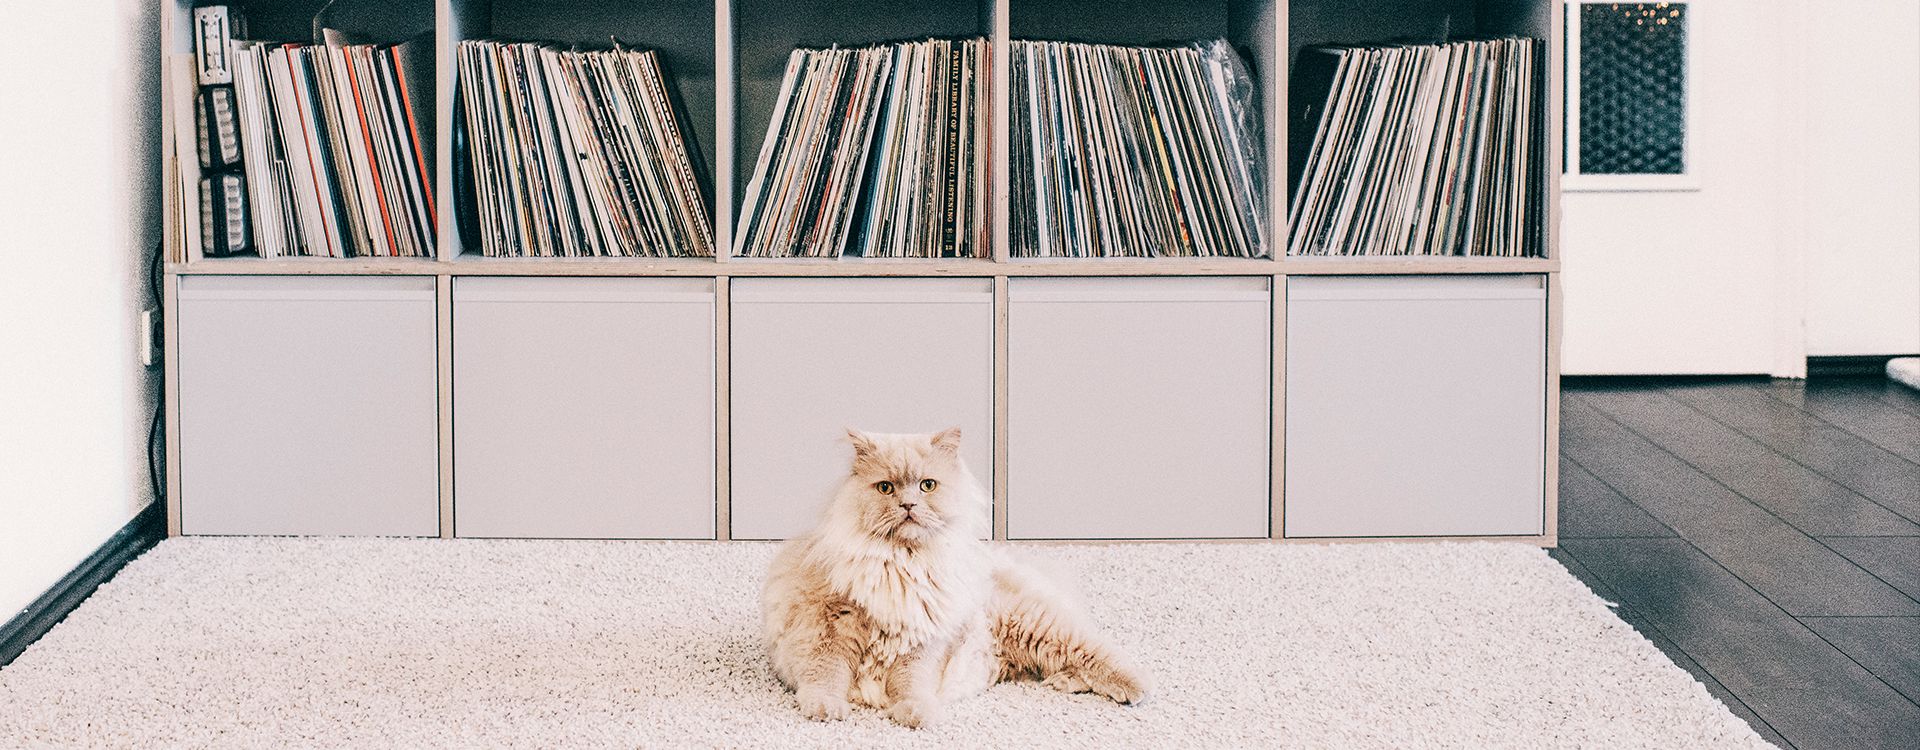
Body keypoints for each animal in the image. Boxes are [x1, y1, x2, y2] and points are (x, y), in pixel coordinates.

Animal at [752, 429, 1136, 728]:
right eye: (886, 488)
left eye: (927, 486)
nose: (908, 505)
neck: (901, 565)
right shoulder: (830, 625)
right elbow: (826, 675)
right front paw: (826, 709)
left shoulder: (922, 643)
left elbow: (910, 684)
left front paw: (918, 714)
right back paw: (1066, 682)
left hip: (1037, 625)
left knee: (1101, 651)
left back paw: (1136, 690)